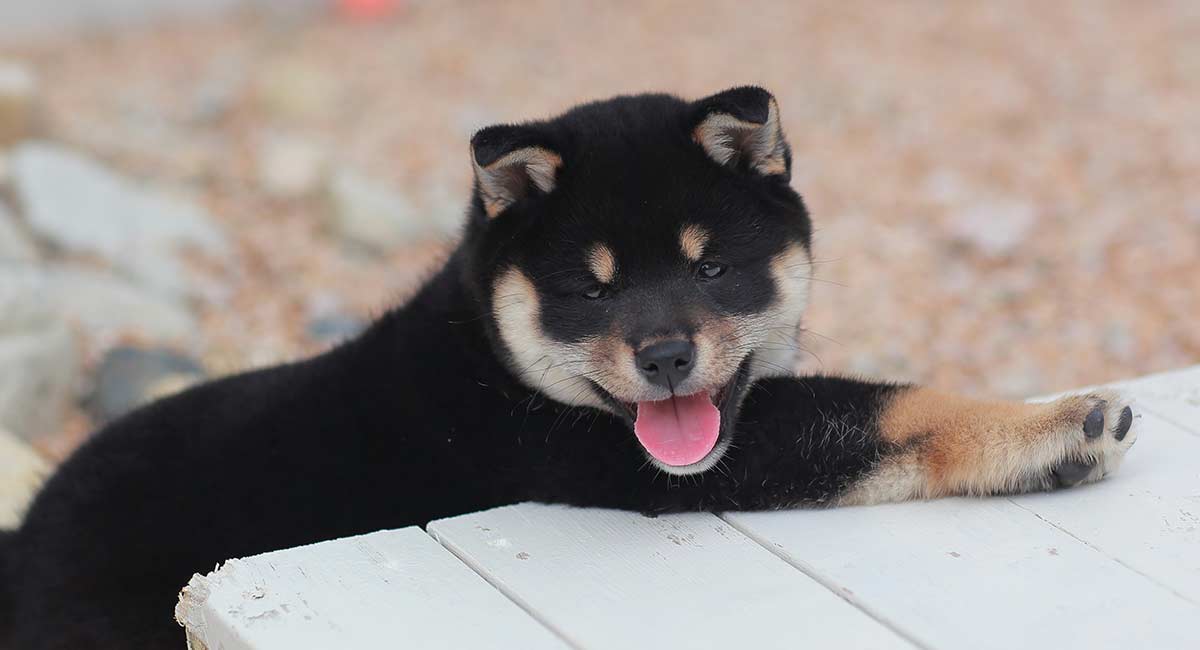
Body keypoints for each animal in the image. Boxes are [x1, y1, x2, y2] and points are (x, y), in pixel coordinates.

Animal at [0, 88, 1132, 650]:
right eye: (589, 292)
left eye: (711, 268)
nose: (665, 353)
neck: (486, 361)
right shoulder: (625, 464)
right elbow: (888, 411)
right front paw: (1054, 426)